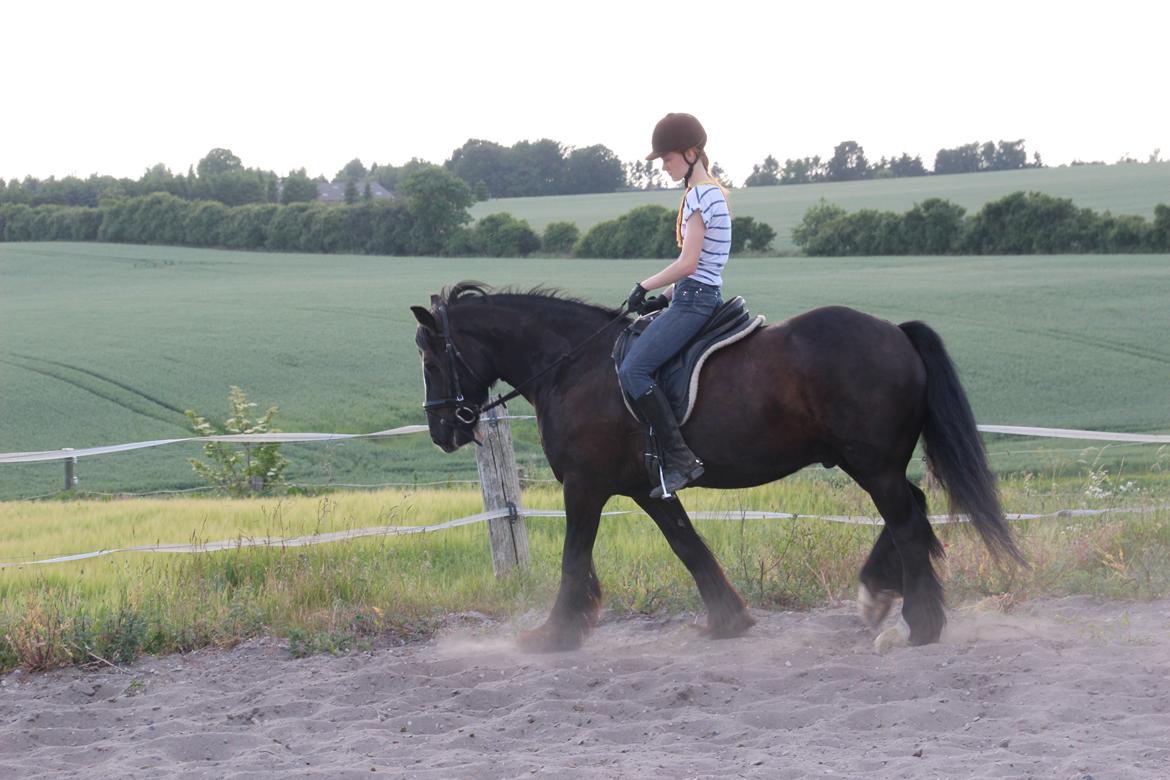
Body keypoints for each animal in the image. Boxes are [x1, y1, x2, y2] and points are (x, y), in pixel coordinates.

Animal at [414, 280, 1024, 654]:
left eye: (432, 357)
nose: (442, 431)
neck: (575, 366)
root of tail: (895, 332)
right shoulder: (648, 488)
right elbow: (689, 546)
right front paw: (728, 619)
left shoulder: (586, 485)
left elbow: (573, 558)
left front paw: (554, 634)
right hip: (874, 463)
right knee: (911, 512)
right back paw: (881, 596)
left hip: (871, 464)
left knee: (906, 521)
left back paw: (919, 623)